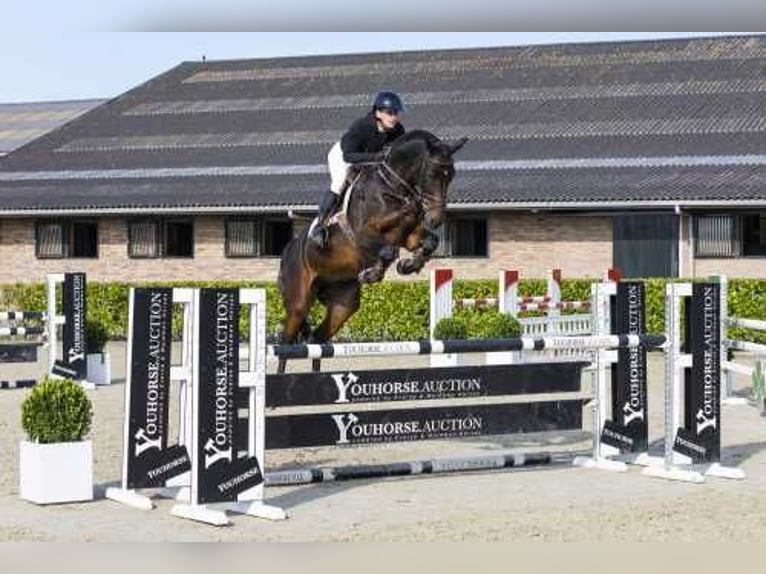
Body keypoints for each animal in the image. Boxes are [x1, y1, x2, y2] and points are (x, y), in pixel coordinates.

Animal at [276, 129, 468, 374]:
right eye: (434, 172)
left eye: (451, 174)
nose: (436, 219)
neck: (393, 189)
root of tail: (287, 253)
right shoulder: (363, 233)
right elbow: (387, 251)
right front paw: (373, 273)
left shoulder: (410, 236)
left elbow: (428, 242)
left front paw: (408, 265)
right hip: (299, 302)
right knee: (286, 344)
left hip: (343, 305)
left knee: (317, 340)